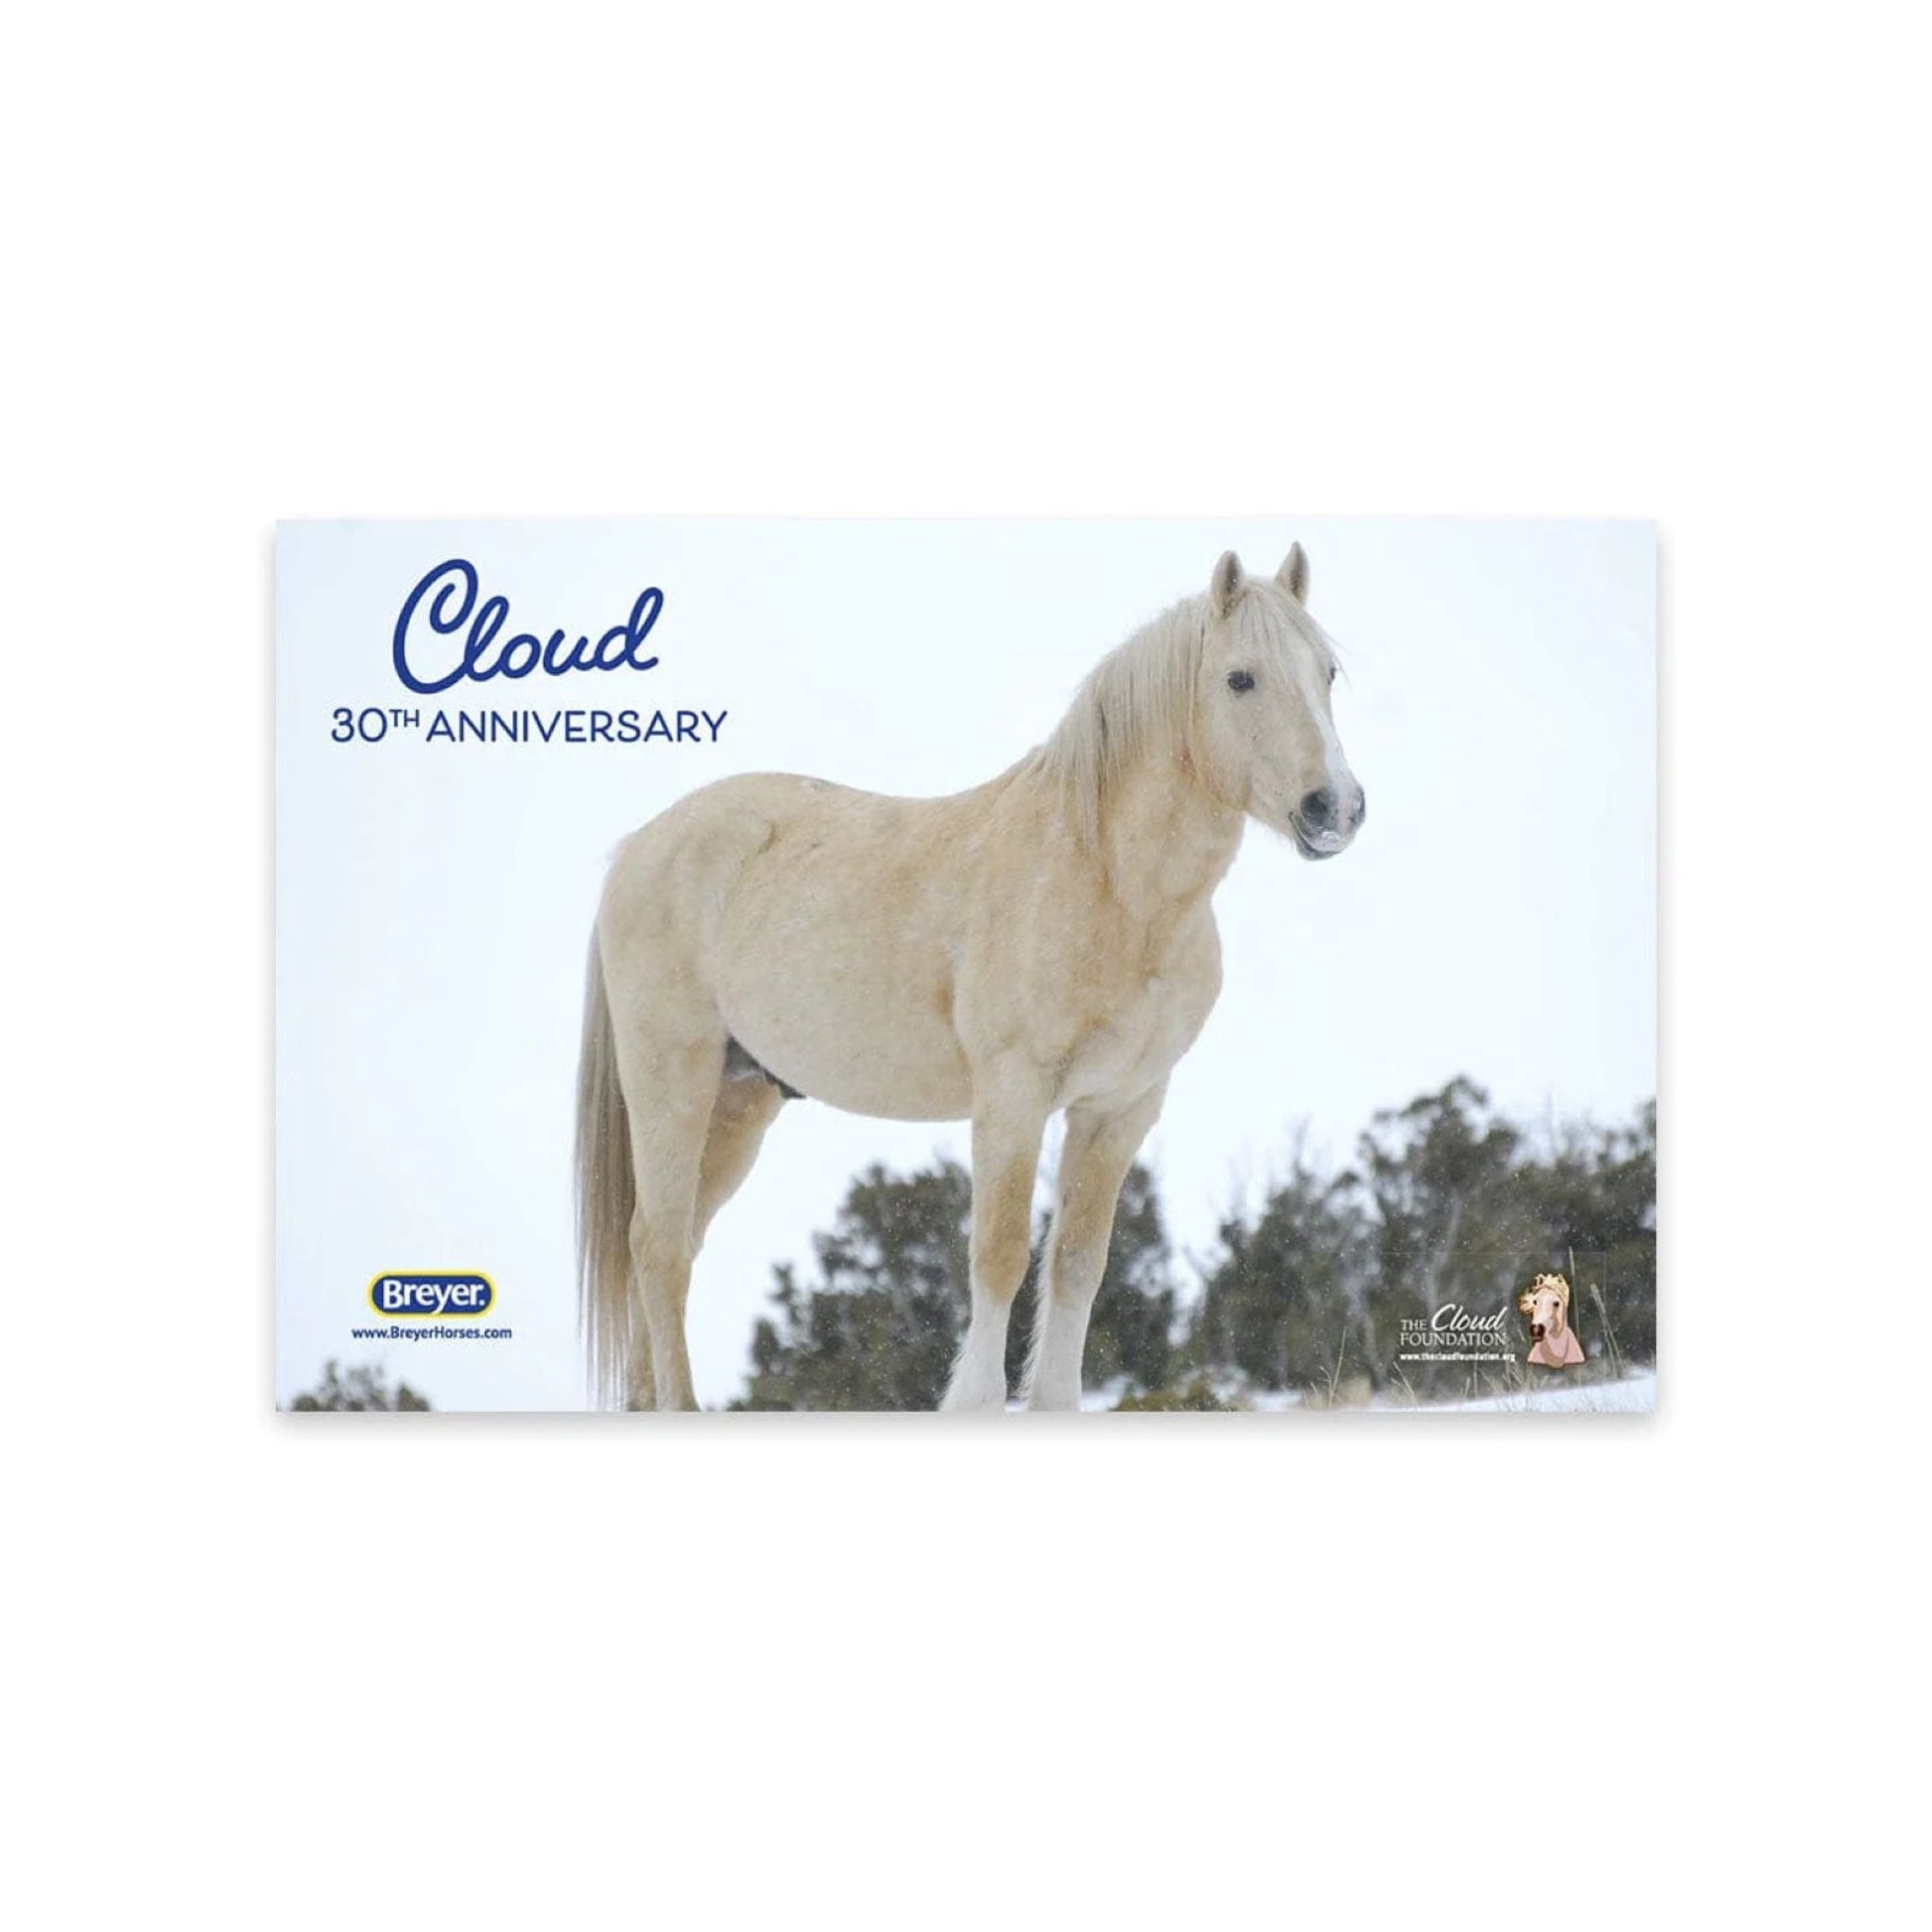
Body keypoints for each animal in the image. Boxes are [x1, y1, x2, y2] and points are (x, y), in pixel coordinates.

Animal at [575, 542, 1366, 1411]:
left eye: (1327, 672)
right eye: (1240, 678)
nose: (1335, 809)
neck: (1110, 888)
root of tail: (638, 847)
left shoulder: (1119, 1108)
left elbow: (1078, 1264)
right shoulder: (1013, 1098)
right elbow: (1000, 1255)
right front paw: (978, 1401)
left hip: (740, 1099)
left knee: (666, 1241)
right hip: (672, 1082)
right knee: (659, 1249)